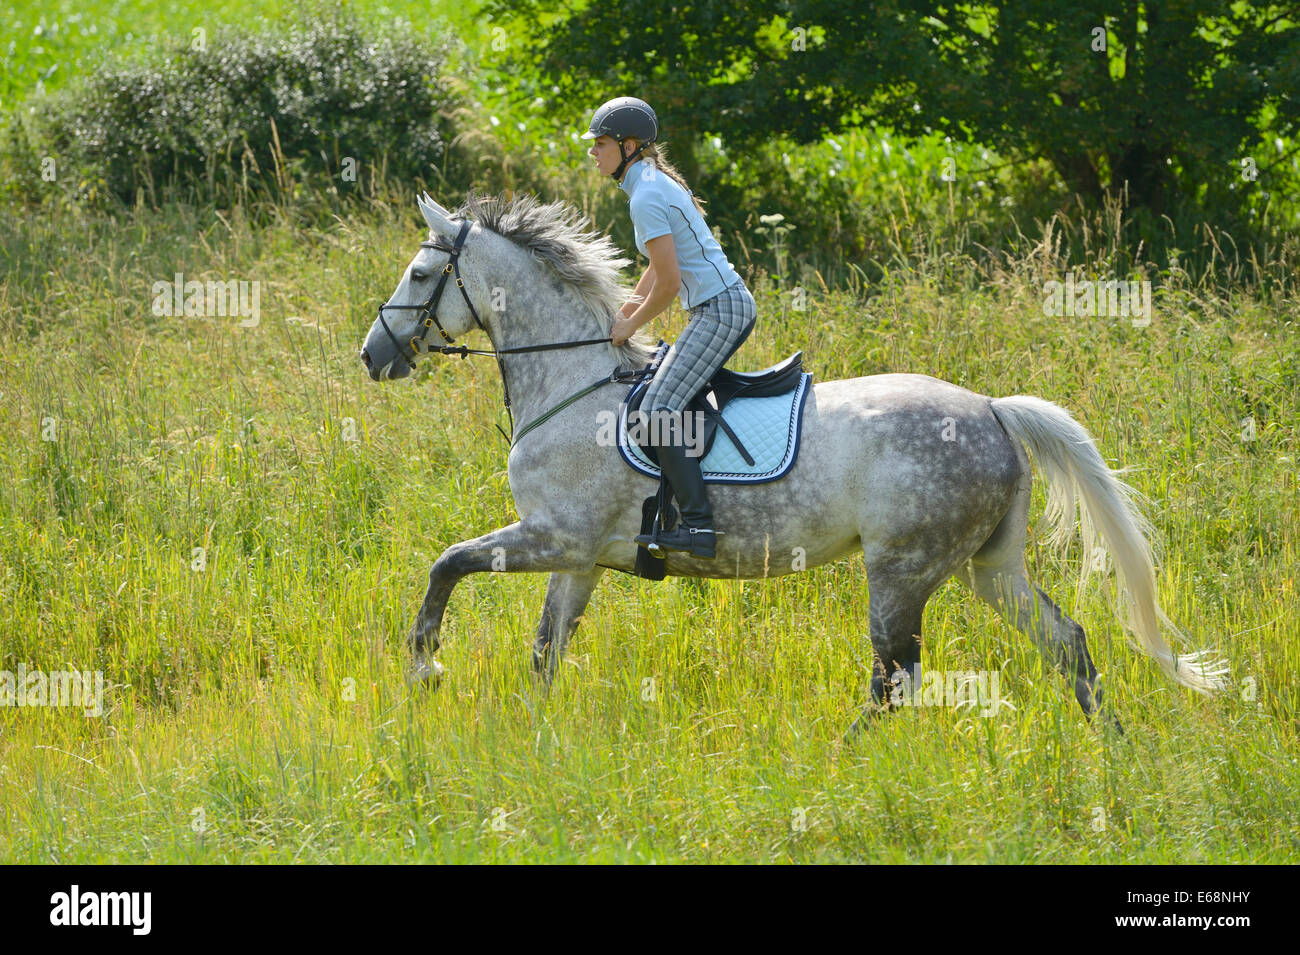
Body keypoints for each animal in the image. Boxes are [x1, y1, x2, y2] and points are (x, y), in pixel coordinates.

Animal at [359, 190, 1227, 735]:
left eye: (421, 273)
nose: (373, 355)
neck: (571, 381)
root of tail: (990, 408)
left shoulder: (554, 535)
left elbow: (447, 564)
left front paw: (424, 668)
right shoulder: (580, 557)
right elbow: (545, 651)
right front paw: (531, 731)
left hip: (902, 568)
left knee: (895, 677)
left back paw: (848, 756)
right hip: (990, 566)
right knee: (1065, 640)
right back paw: (1112, 742)